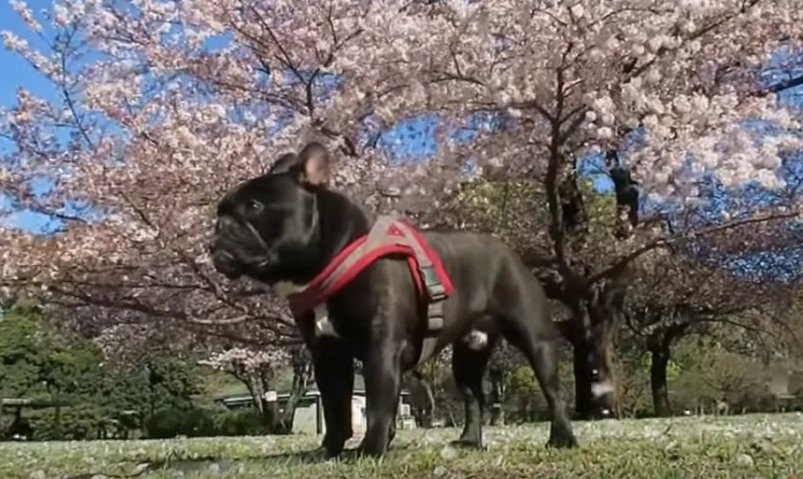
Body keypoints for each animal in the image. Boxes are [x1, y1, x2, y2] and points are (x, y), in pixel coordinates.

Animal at [210, 142, 576, 458]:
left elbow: (378, 404)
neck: (332, 254)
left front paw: (371, 450)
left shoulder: (381, 346)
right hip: (469, 353)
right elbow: (336, 407)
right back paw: (470, 441)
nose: (218, 228)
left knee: (553, 392)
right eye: (220, 212)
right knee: (474, 396)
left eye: (254, 207)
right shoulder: (328, 354)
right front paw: (329, 450)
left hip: (534, 337)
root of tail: (507, 250)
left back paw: (562, 438)